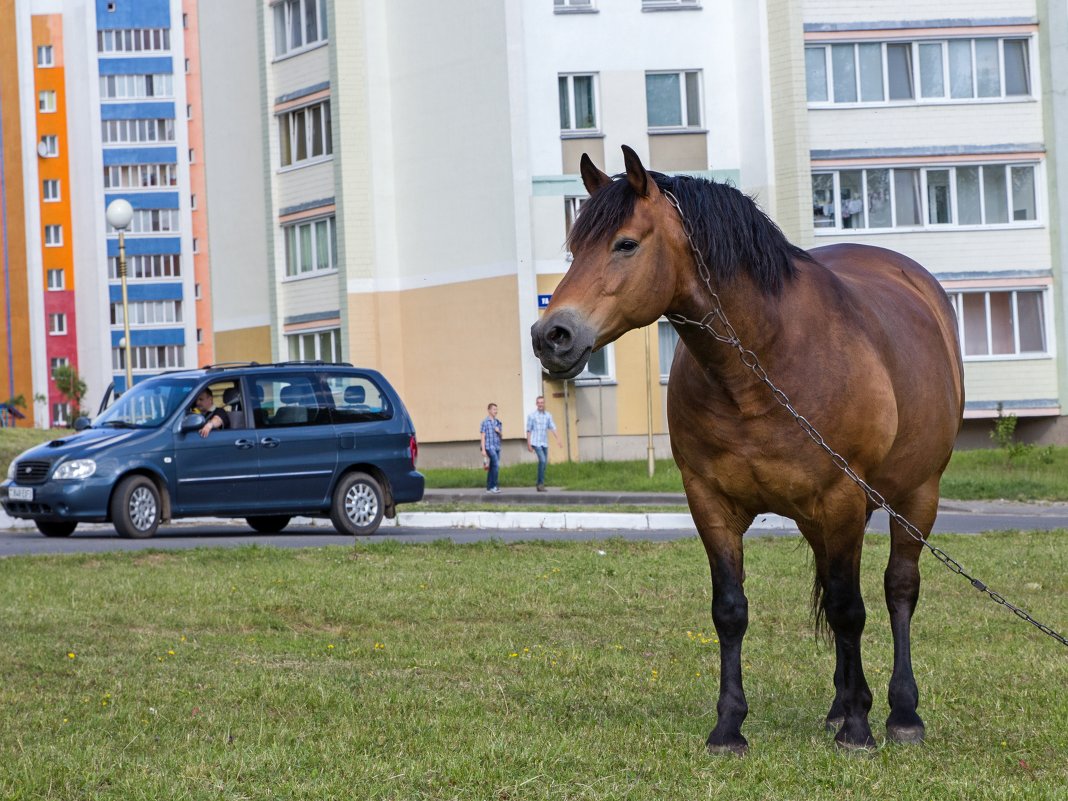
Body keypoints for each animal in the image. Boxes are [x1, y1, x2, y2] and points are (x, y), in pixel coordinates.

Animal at [529, 147, 965, 756]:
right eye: (574, 249)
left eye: (626, 244)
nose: (551, 336)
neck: (766, 363)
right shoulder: (710, 503)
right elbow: (731, 611)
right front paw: (729, 726)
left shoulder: (843, 499)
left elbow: (850, 609)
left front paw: (858, 731)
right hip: (819, 519)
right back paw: (842, 703)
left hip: (916, 496)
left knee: (898, 590)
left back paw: (901, 713)